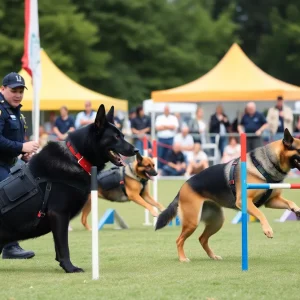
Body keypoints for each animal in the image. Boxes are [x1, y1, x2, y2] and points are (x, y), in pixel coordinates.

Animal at [0, 104, 137, 274]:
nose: (137, 150)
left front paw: (64, 265)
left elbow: (59, 247)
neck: (78, 157)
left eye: (123, 135)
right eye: (116, 137)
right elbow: (64, 246)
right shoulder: (59, 214)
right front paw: (70, 267)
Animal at [156, 128, 300, 262]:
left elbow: (290, 203)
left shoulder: (271, 201)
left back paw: (213, 256)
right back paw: (182, 258)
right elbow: (261, 214)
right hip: (192, 221)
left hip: (217, 221)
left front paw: (296, 210)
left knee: (202, 238)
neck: (266, 163)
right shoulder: (244, 201)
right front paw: (267, 229)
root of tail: (182, 188)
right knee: (179, 240)